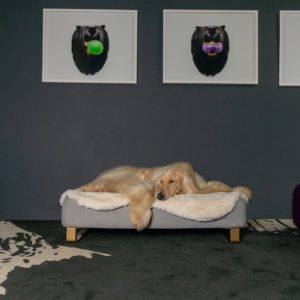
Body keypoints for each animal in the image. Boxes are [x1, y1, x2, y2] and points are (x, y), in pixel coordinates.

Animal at [81, 163, 252, 231]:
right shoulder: (148, 183)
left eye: (172, 181)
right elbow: (146, 192)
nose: (160, 195)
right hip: (124, 175)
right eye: (162, 181)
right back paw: (90, 187)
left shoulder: (198, 186)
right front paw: (139, 218)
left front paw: (243, 190)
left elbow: (215, 187)